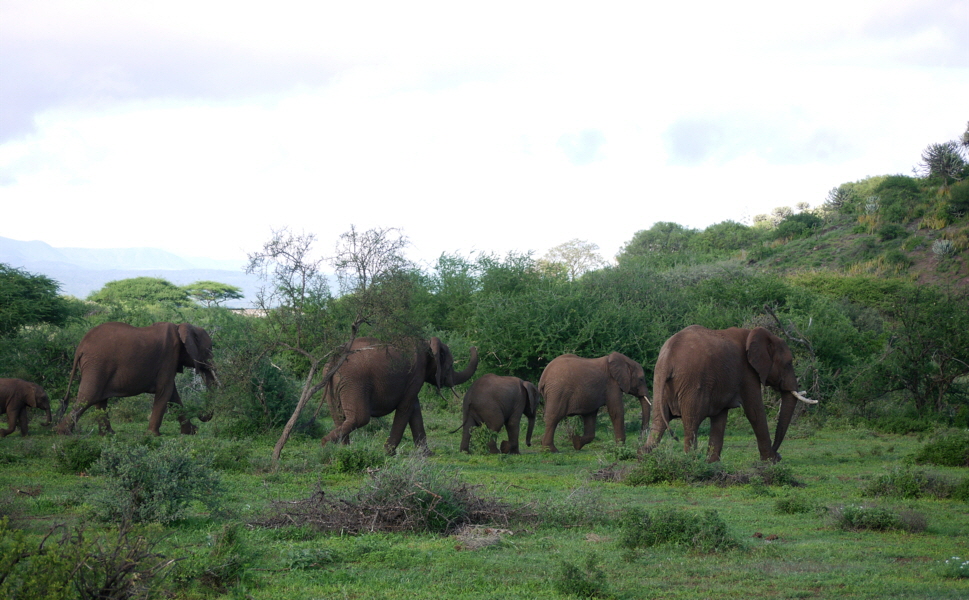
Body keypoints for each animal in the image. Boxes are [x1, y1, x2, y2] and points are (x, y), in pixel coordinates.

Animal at [56, 324, 217, 436]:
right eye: (209, 349)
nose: (200, 415)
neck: (181, 327)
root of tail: (80, 347)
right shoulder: (169, 356)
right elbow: (165, 391)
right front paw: (153, 435)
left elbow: (173, 395)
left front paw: (190, 432)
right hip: (96, 364)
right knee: (88, 398)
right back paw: (62, 433)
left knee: (99, 400)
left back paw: (108, 434)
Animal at [324, 336, 478, 452]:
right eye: (451, 365)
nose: (472, 347)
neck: (427, 343)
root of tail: (335, 358)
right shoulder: (417, 374)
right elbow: (406, 407)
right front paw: (388, 453)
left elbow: (415, 409)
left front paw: (426, 455)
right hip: (355, 382)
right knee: (359, 418)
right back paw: (324, 444)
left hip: (333, 382)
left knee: (339, 417)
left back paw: (342, 450)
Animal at [644, 326, 816, 462]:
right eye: (788, 363)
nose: (778, 454)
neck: (754, 333)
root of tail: (668, 359)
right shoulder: (747, 372)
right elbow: (754, 412)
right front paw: (770, 461)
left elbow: (720, 417)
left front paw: (712, 463)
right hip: (691, 384)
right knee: (691, 423)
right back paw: (691, 461)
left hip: (660, 382)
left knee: (658, 422)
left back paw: (645, 459)